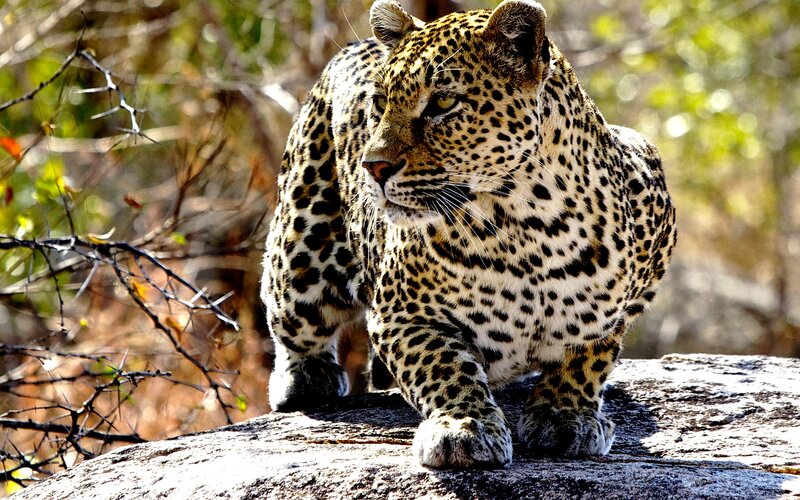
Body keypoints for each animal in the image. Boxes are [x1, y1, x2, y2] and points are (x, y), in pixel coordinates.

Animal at [261, 0, 676, 469]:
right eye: (380, 102)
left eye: (443, 101)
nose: (373, 166)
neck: (529, 228)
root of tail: (356, 44)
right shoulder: (401, 315)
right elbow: (444, 367)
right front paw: (464, 427)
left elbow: (589, 354)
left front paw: (565, 414)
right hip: (300, 249)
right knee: (292, 316)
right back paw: (306, 379)